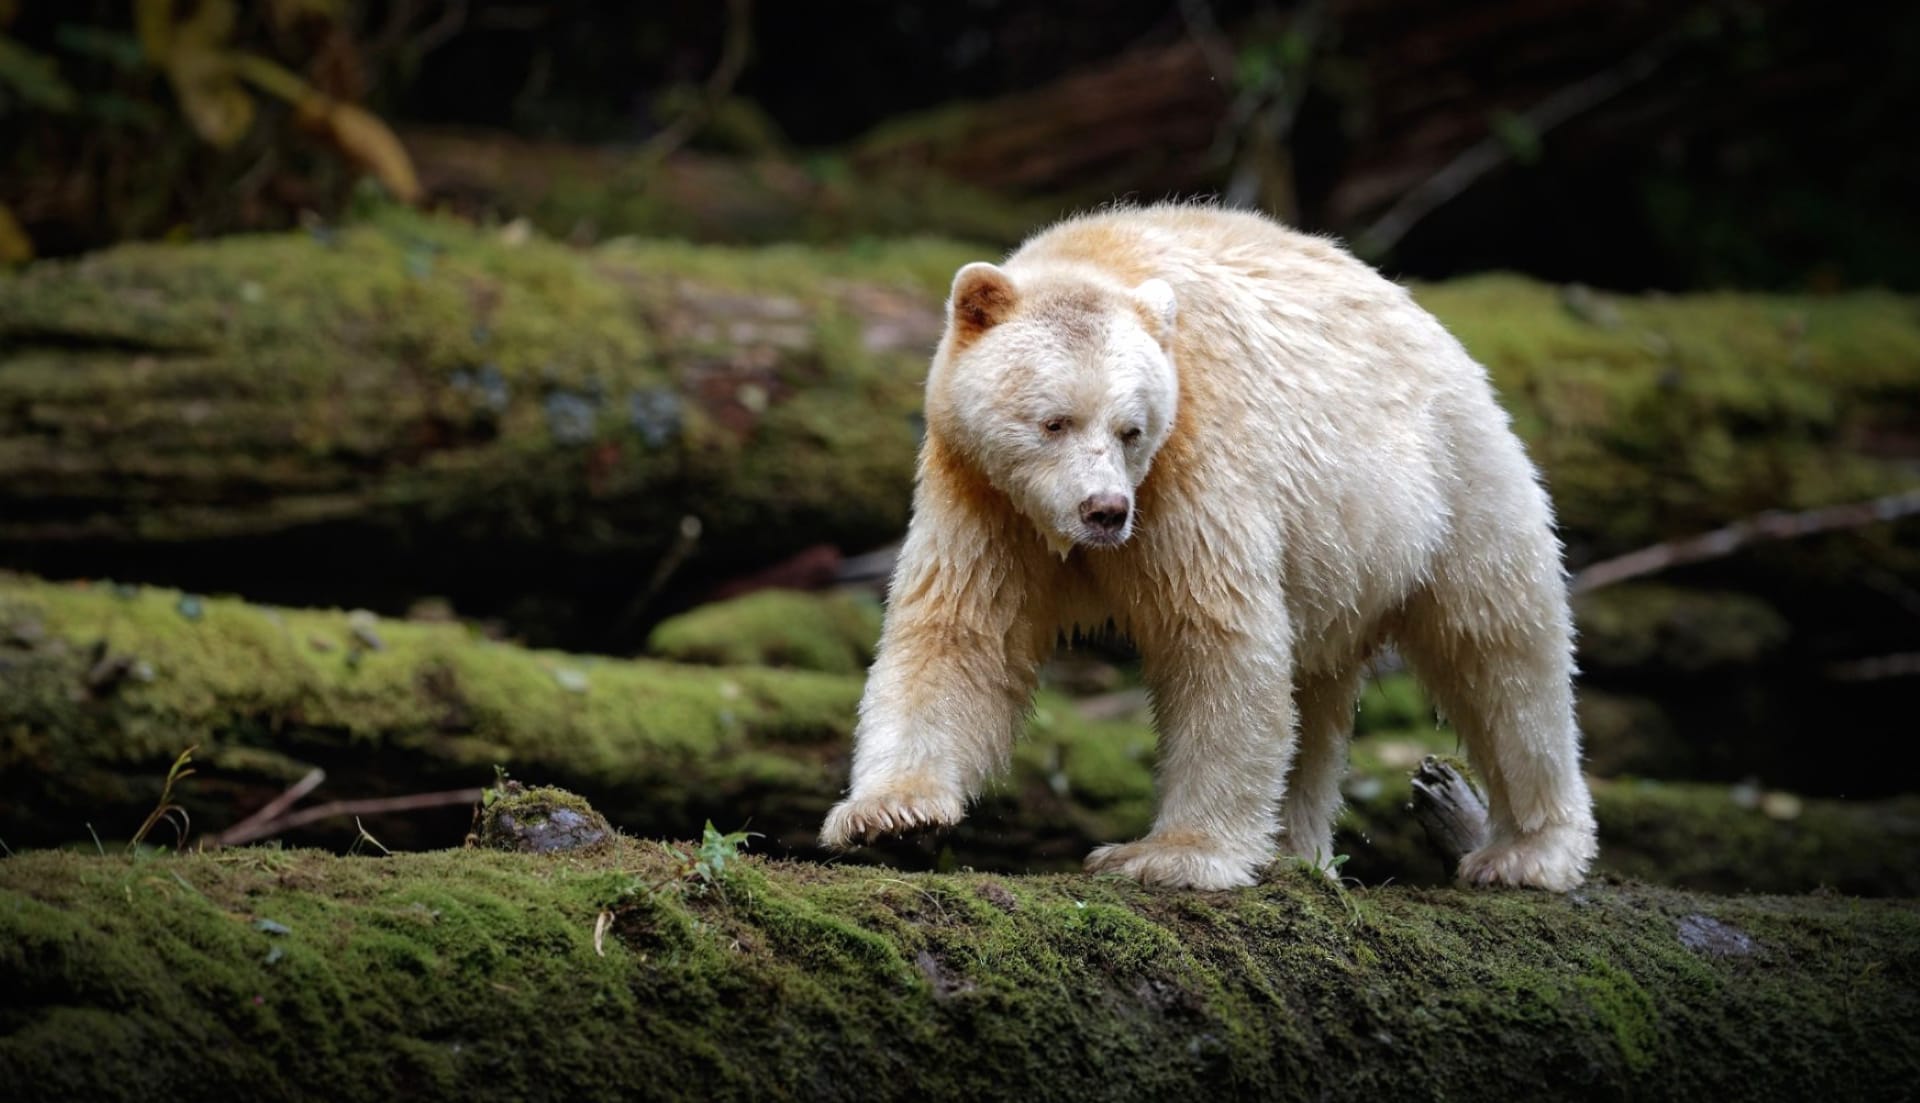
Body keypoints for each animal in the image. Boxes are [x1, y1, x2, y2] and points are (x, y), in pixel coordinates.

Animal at [817, 205, 1597, 899]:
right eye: (1053, 421)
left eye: (1130, 429)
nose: (1105, 510)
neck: (1100, 256)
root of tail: (1437, 329)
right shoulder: (981, 492)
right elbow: (959, 631)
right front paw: (890, 814)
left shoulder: (1191, 461)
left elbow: (1216, 637)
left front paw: (1170, 854)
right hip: (1338, 562)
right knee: (1317, 698)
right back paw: (1293, 850)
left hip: (1451, 484)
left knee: (1501, 653)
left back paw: (1527, 850)